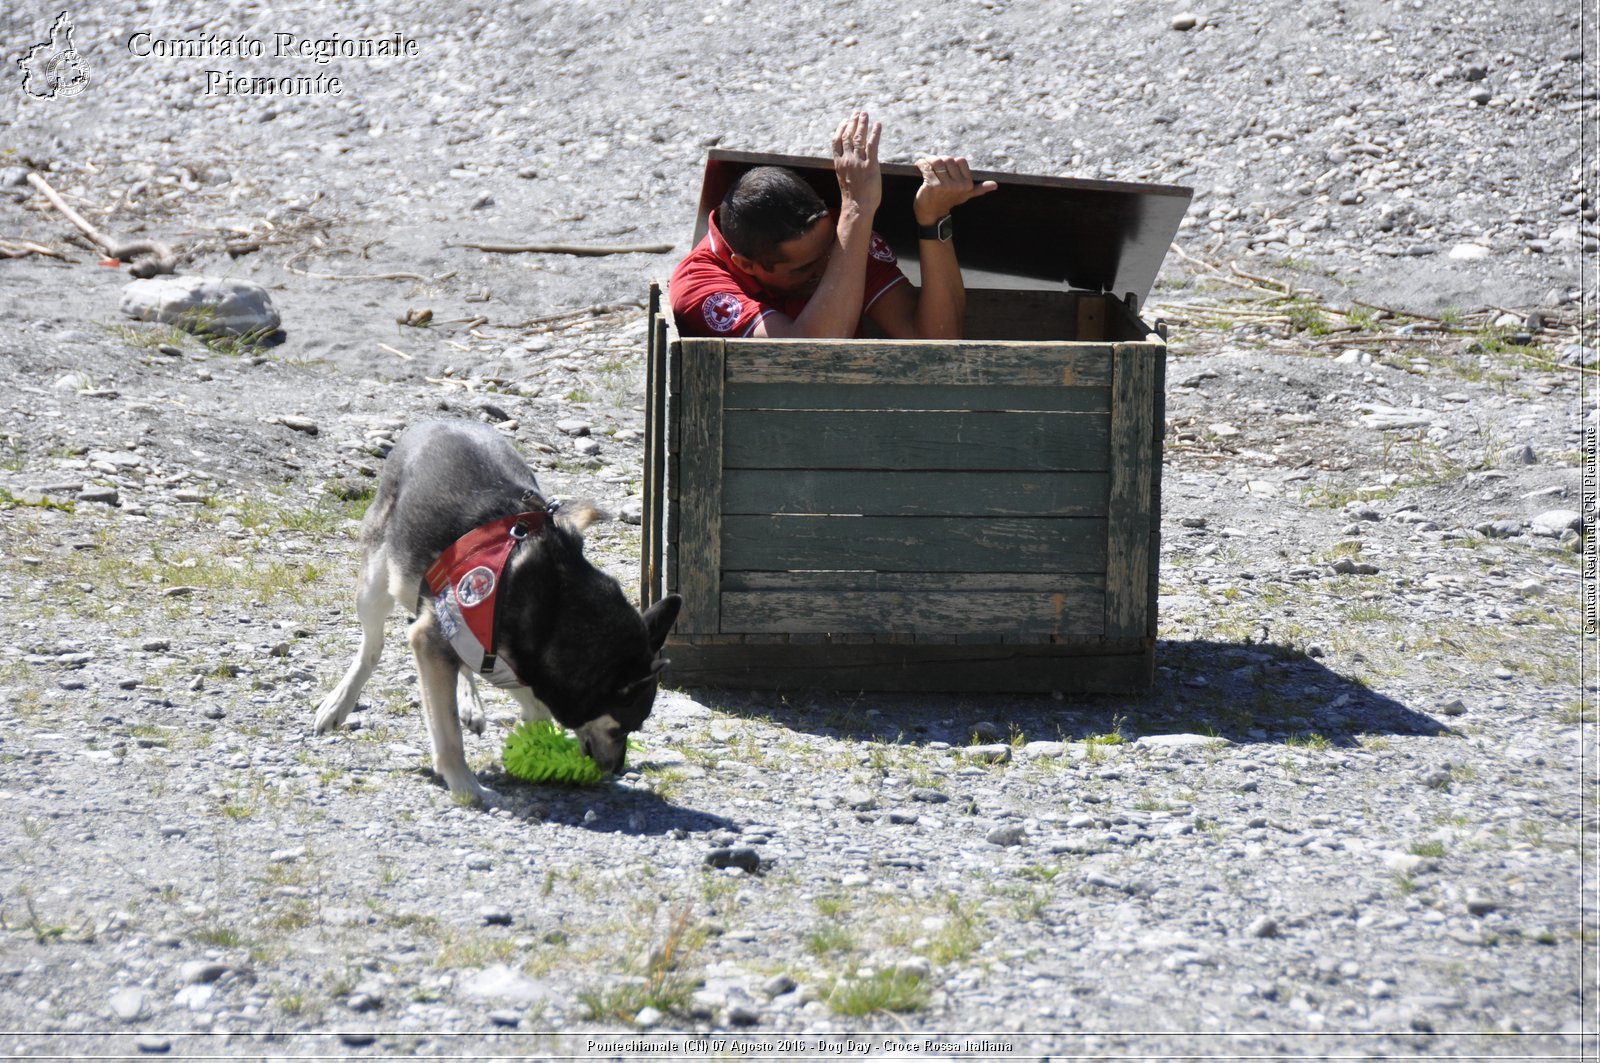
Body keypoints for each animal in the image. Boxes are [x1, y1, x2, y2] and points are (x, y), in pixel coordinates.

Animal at [313, 419, 681, 800]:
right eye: (621, 728)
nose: (617, 769)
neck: (557, 607)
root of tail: (437, 421)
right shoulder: (432, 640)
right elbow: (448, 733)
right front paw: (466, 786)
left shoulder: (515, 667)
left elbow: (534, 710)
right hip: (376, 583)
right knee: (372, 648)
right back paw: (338, 704)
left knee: (457, 665)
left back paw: (470, 702)